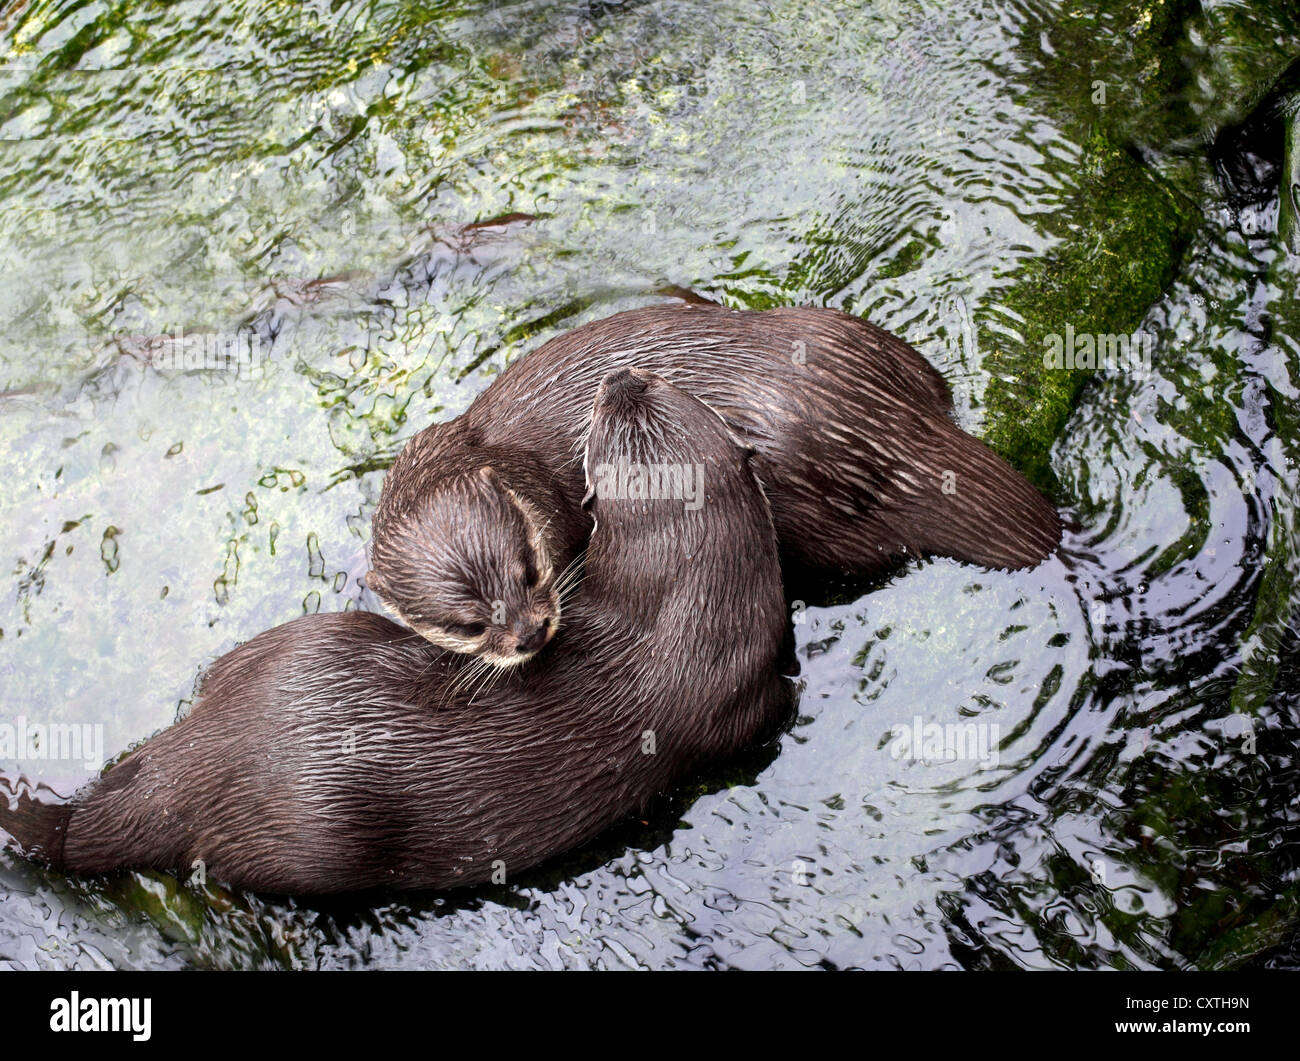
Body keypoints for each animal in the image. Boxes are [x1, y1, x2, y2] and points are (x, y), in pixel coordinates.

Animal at [0, 369, 790, 889]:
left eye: (656, 391)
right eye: (606, 417)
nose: (621, 374)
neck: (683, 598)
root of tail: (206, 756)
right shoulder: (748, 696)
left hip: (299, 641)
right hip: (314, 838)